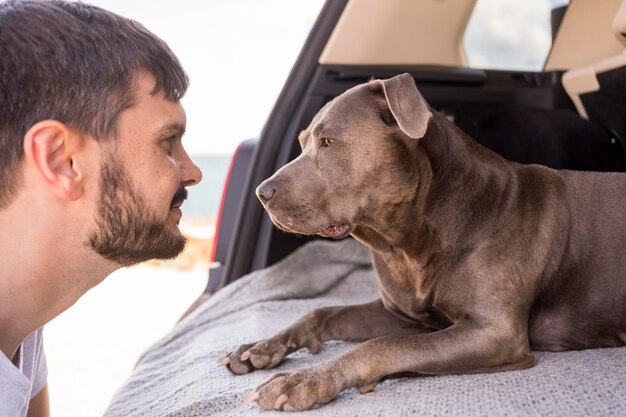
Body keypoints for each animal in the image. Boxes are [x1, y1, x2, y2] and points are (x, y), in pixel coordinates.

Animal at [218, 72, 620, 410]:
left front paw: (306, 381)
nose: (261, 193)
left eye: (328, 142)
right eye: (302, 144)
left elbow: (385, 344)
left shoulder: (496, 333)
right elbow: (323, 312)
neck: (409, 241)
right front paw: (261, 347)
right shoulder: (403, 314)